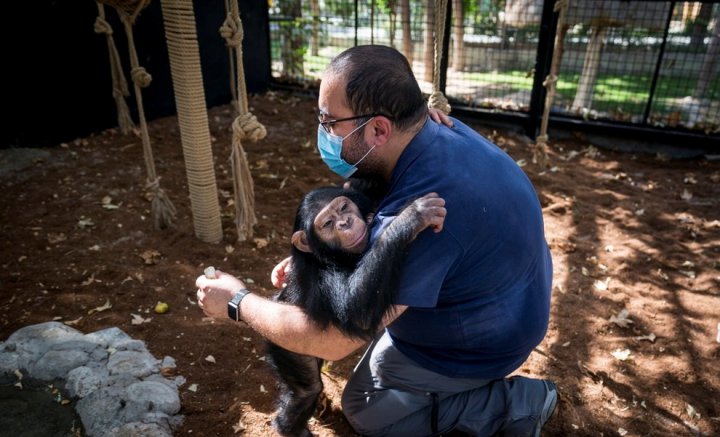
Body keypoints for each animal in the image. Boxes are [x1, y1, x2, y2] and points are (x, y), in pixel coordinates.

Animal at [264, 185, 444, 436]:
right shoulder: (322, 277)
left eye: (343, 208)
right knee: (306, 390)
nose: (344, 223)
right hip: (285, 341)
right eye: (328, 223)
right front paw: (412, 216)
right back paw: (290, 427)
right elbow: (357, 312)